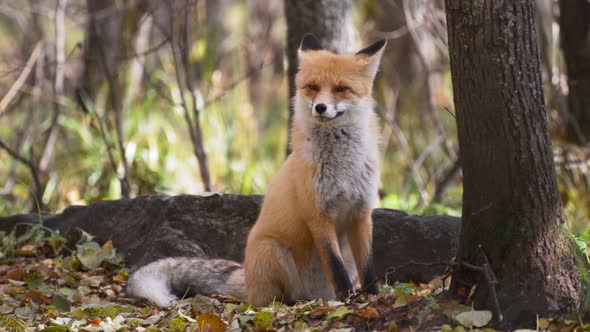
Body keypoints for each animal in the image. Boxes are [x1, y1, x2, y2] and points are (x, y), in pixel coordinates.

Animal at [126, 33, 386, 306]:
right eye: (313, 86)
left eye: (341, 88)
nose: (320, 107)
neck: (343, 168)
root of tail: (247, 278)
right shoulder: (318, 214)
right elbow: (335, 267)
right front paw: (348, 299)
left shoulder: (361, 212)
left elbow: (368, 266)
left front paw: (373, 296)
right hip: (273, 251)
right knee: (277, 299)